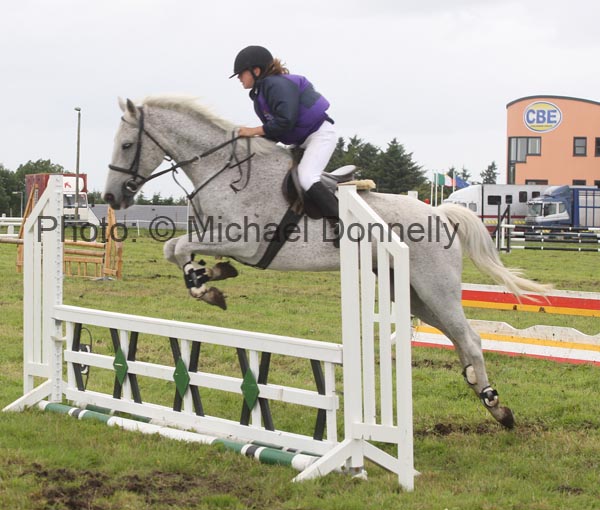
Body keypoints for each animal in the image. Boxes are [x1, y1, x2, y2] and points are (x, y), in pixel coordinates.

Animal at [103, 94, 548, 426]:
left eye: (126, 145)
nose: (111, 197)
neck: (224, 171)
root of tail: (440, 213)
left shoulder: (245, 242)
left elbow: (178, 249)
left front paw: (207, 284)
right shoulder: (213, 235)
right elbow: (174, 250)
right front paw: (209, 277)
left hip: (435, 289)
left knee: (470, 337)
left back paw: (496, 405)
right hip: (412, 293)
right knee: (456, 336)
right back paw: (481, 390)